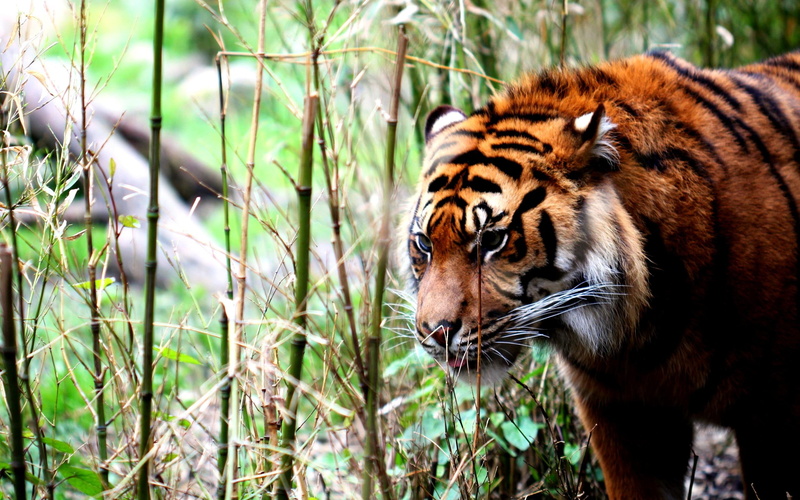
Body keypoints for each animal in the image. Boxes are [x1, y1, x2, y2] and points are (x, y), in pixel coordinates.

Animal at [406, 50, 800, 500]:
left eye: (492, 239)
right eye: (424, 243)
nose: (435, 332)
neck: (641, 331)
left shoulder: (772, 415)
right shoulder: (620, 414)